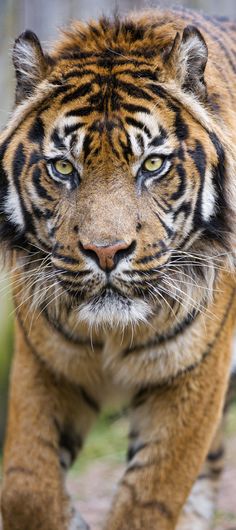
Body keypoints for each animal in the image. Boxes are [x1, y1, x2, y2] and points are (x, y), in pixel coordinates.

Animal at [0, 5, 236, 528]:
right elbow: (25, 487)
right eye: (63, 168)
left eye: (151, 165)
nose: (106, 252)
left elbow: (147, 499)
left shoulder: (192, 376)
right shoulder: (46, 362)